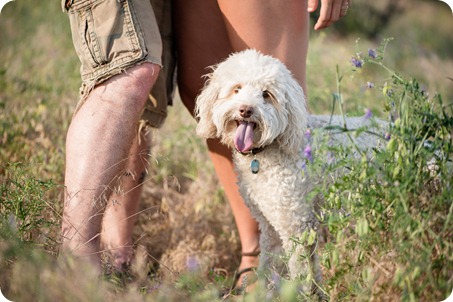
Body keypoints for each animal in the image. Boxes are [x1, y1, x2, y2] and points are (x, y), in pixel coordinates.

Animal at [194, 49, 384, 292]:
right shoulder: (270, 227)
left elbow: (301, 269)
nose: (246, 110)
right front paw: (263, 292)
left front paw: (302, 294)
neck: (264, 152)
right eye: (237, 88)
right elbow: (271, 264)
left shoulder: (296, 224)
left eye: (266, 94)